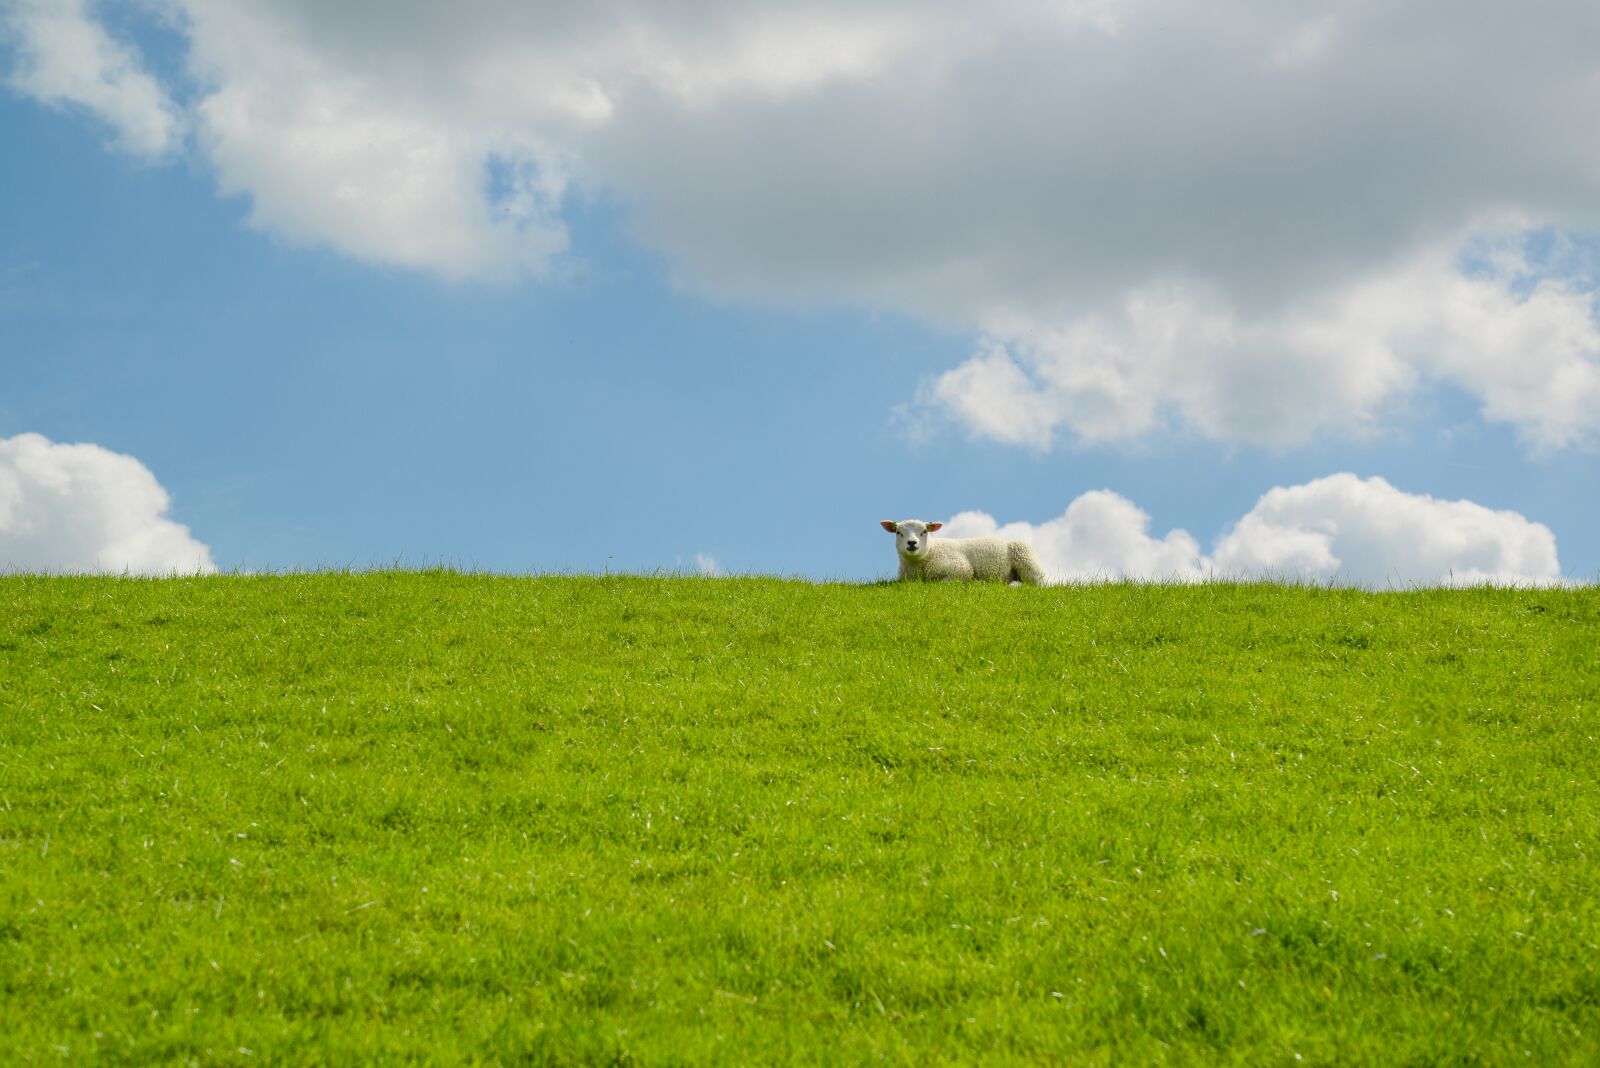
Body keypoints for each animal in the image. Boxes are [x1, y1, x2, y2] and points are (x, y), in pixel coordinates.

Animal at [880, 519, 1045, 585]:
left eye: (924, 532)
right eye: (898, 532)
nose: (912, 543)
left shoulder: (961, 568)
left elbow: (943, 582)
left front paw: (975, 582)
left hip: (1026, 561)